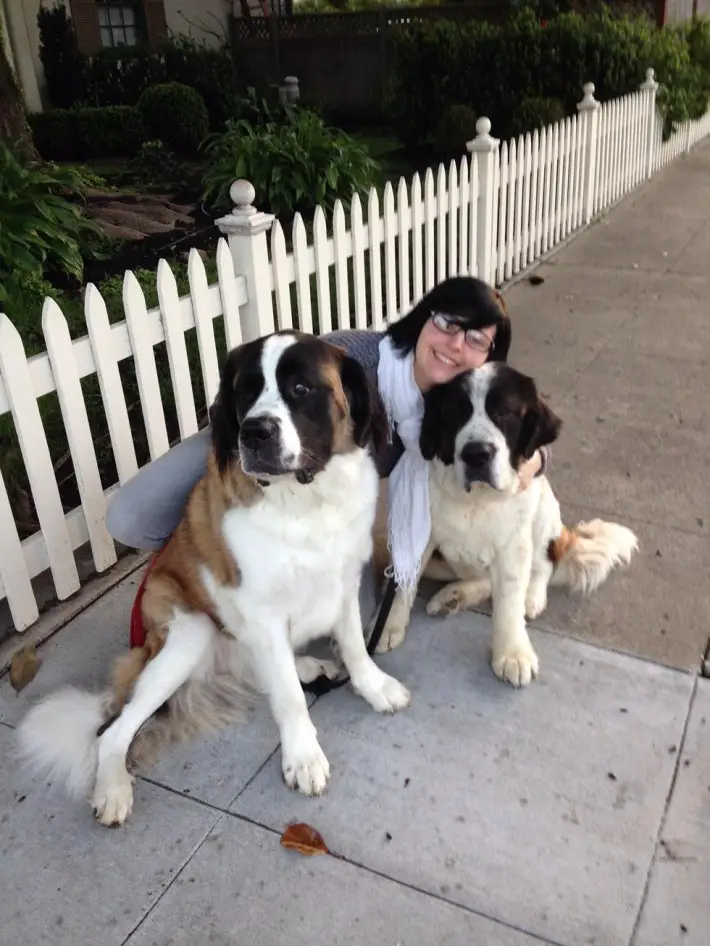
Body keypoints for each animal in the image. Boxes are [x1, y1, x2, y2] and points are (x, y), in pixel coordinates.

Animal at [18, 328, 412, 824]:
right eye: (245, 392)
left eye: (300, 389)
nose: (254, 431)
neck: (306, 503)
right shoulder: (262, 611)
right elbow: (287, 696)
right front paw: (303, 757)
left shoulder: (343, 581)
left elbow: (357, 648)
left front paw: (373, 687)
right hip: (189, 632)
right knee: (113, 731)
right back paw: (112, 789)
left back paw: (308, 664)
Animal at [378, 364, 640, 684]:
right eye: (456, 413)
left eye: (504, 413)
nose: (476, 454)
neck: (477, 500)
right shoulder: (419, 536)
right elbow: (403, 583)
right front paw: (387, 626)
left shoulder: (513, 545)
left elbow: (509, 602)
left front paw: (512, 654)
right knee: (483, 579)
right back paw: (453, 596)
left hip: (544, 506)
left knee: (544, 564)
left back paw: (531, 596)